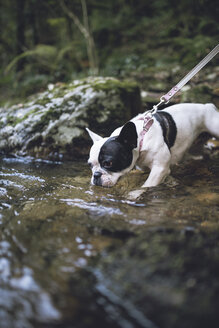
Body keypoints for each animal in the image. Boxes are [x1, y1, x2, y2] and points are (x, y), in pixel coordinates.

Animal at [87, 104, 219, 197]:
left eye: (109, 163)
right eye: (90, 165)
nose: (96, 175)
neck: (141, 137)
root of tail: (207, 105)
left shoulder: (159, 169)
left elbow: (146, 185)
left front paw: (133, 194)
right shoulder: (143, 167)